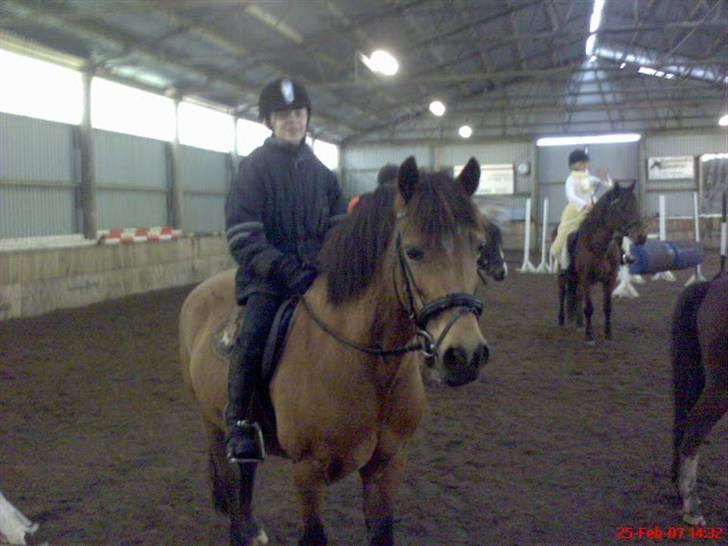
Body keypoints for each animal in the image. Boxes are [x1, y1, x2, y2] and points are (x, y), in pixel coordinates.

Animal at [180, 155, 492, 540]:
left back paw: (252, 528)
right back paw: (242, 531)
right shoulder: (308, 473)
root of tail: (199, 292)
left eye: (478, 248)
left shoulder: (388, 464)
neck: (366, 366)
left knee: (247, 471)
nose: (466, 355)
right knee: (230, 477)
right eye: (413, 252)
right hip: (212, 422)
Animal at [556, 182, 648, 340]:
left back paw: (579, 323)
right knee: (562, 294)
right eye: (622, 207)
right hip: (563, 276)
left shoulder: (609, 279)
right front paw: (589, 335)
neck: (599, 247)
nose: (641, 237)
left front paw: (608, 333)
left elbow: (607, 307)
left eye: (636, 206)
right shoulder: (586, 278)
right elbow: (589, 308)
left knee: (578, 296)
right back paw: (562, 321)